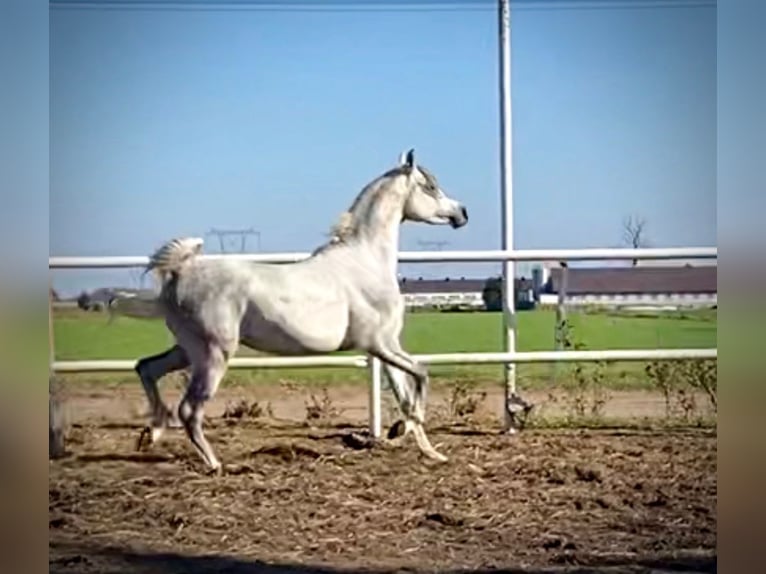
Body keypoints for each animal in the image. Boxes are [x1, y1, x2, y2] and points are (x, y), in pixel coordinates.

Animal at [118, 150, 472, 476]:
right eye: (429, 187)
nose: (462, 213)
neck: (365, 262)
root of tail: (179, 273)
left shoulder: (386, 347)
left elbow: (405, 393)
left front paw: (426, 449)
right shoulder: (379, 343)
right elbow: (422, 374)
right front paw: (405, 431)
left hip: (188, 349)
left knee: (146, 368)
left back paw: (152, 433)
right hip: (214, 354)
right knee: (189, 408)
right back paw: (214, 463)